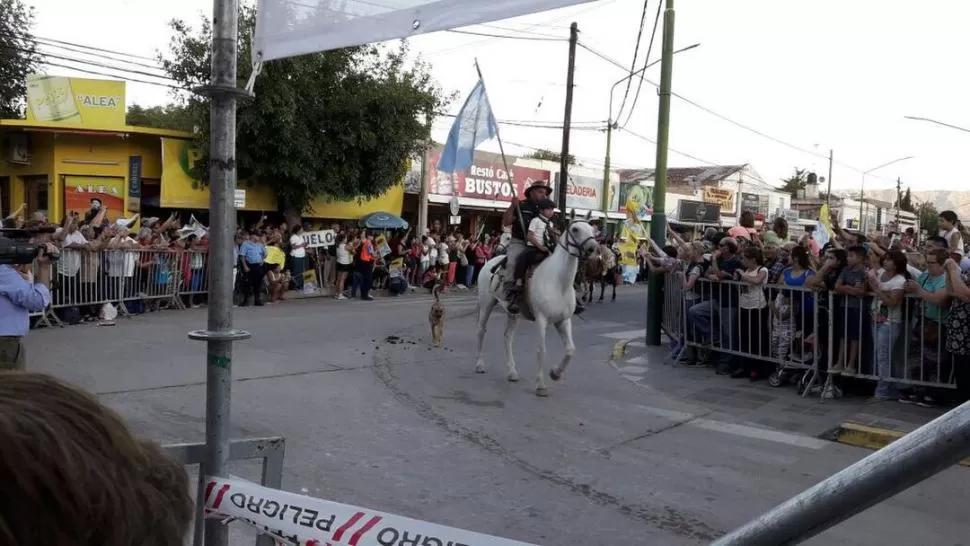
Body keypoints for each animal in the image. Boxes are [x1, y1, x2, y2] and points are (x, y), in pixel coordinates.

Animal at [474, 217, 600, 396]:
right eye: (575, 229)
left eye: (591, 229)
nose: (592, 248)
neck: (558, 282)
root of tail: (490, 262)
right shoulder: (542, 320)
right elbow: (541, 350)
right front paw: (540, 385)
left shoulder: (563, 321)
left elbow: (570, 350)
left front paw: (555, 373)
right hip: (486, 303)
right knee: (481, 331)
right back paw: (479, 364)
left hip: (513, 312)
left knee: (507, 337)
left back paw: (512, 372)